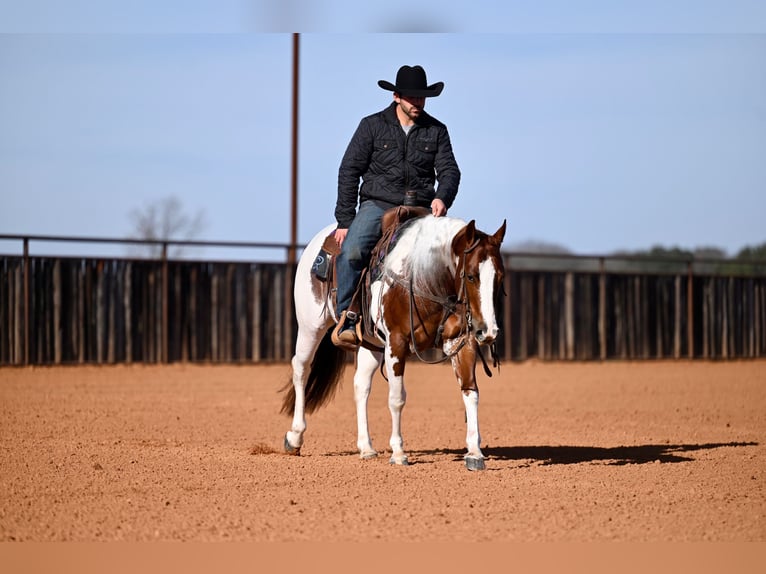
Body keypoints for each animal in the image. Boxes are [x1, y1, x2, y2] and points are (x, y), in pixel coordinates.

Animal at [280, 213, 506, 470]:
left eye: (500, 277)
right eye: (470, 276)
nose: (488, 331)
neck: (422, 276)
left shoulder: (460, 341)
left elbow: (470, 392)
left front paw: (475, 453)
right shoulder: (396, 343)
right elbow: (397, 398)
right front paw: (398, 453)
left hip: (372, 344)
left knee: (360, 385)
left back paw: (366, 447)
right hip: (310, 327)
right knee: (301, 370)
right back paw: (295, 437)